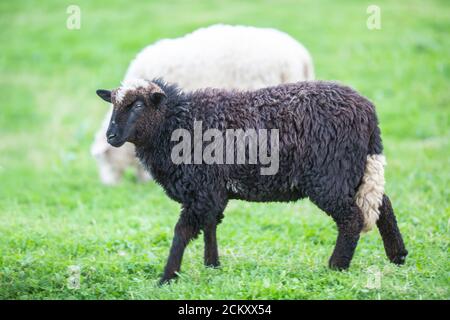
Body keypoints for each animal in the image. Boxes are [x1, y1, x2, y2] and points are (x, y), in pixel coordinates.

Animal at [96, 79, 408, 284]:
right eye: (113, 105)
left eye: (138, 105)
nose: (111, 137)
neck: (175, 124)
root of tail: (367, 111)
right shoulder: (211, 191)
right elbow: (210, 226)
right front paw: (213, 266)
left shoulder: (202, 189)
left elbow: (182, 232)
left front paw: (167, 277)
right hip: (355, 170)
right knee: (383, 204)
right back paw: (398, 257)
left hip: (330, 175)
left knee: (352, 217)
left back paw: (336, 267)